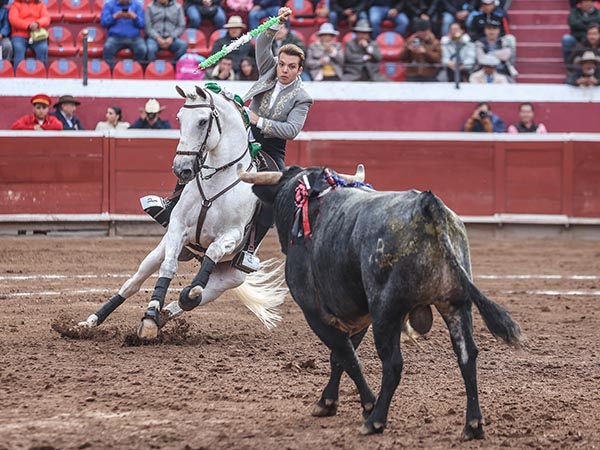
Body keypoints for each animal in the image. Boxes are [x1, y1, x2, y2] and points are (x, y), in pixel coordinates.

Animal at [78, 83, 288, 338]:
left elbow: (211, 256)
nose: (181, 169)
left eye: (202, 121)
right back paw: (92, 322)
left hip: (229, 279)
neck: (218, 178)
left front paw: (173, 303)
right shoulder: (178, 227)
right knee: (133, 284)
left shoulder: (233, 234)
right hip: (162, 249)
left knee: (190, 298)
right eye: (179, 119)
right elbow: (168, 267)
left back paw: (167, 313)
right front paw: (150, 314)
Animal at [246, 165, 524, 440]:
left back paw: (376, 420)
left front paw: (366, 405)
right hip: (455, 304)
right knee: (467, 356)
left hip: (386, 311)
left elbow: (347, 358)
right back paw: (473, 425)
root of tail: (427, 205)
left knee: (392, 364)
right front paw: (328, 402)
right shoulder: (359, 316)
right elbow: (340, 357)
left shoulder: (317, 314)